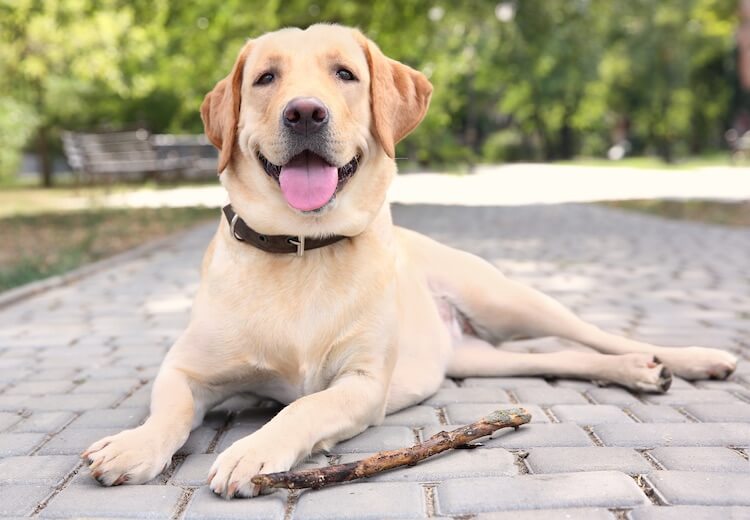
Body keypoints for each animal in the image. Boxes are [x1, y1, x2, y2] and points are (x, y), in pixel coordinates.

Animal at [82, 25, 740, 500]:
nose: (304, 112)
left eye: (345, 74)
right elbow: (170, 408)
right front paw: (134, 445)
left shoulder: (363, 382)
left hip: (508, 298)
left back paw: (687, 359)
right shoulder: (185, 369)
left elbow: (303, 405)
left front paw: (254, 449)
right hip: (477, 358)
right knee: (564, 357)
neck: (302, 250)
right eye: (265, 78)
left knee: (597, 335)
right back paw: (640, 371)